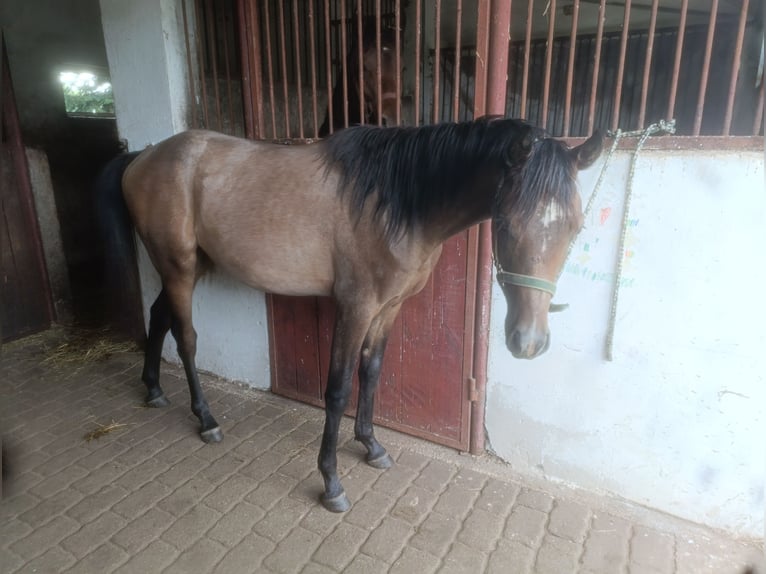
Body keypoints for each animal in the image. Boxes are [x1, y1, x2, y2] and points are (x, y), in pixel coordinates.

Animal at [96, 117, 604, 512]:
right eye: (506, 224)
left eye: (576, 226)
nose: (529, 342)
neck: (395, 200)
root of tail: (146, 155)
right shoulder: (355, 307)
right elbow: (338, 389)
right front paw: (332, 481)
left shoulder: (388, 307)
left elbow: (372, 371)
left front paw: (372, 445)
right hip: (178, 267)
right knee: (186, 337)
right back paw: (206, 419)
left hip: (186, 267)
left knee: (158, 317)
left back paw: (154, 389)